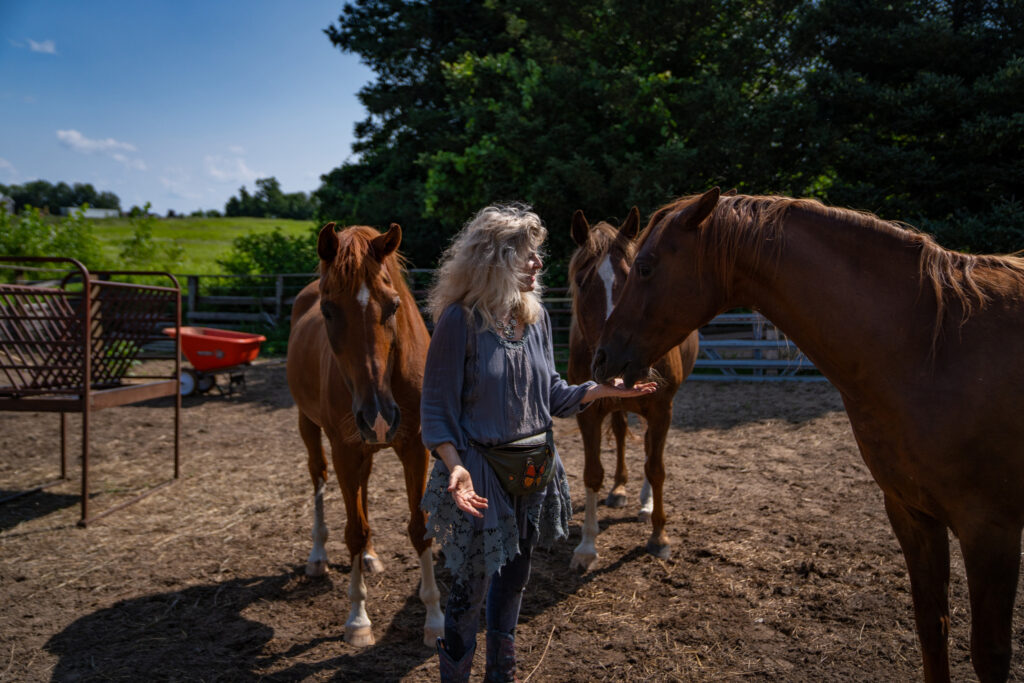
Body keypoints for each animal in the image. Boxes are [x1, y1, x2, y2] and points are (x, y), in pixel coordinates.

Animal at [286, 222, 443, 648]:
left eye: (393, 305)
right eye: (328, 310)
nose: (378, 415)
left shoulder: (415, 448)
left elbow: (420, 528)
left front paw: (435, 618)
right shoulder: (344, 449)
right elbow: (353, 531)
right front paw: (358, 620)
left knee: (364, 487)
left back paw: (371, 556)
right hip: (310, 427)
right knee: (319, 477)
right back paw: (317, 556)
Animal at [567, 207, 698, 570]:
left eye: (631, 278)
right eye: (582, 282)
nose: (615, 360)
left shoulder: (661, 409)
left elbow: (656, 468)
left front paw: (659, 536)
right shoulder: (588, 412)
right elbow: (592, 473)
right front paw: (587, 545)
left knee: (652, 448)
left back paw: (645, 503)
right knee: (623, 434)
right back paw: (620, 490)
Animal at [592, 188, 1024, 682]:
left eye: (644, 267)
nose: (601, 357)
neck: (933, 349)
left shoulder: (990, 530)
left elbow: (989, 653)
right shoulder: (912, 514)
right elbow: (931, 627)